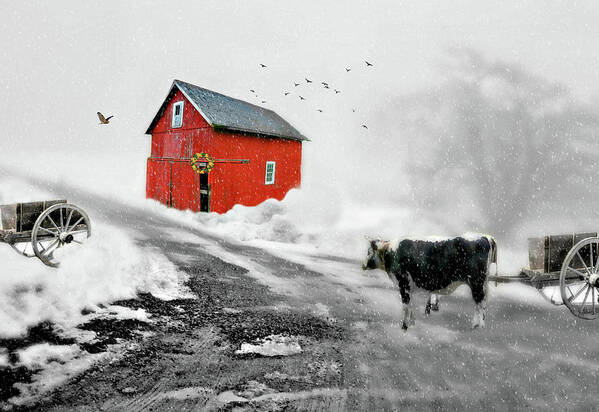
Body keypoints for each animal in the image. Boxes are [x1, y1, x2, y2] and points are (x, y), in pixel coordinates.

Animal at [364, 235, 500, 328]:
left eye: (369, 251)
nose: (363, 265)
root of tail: (485, 237)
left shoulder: (403, 283)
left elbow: (406, 305)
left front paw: (405, 326)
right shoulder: (408, 286)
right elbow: (410, 304)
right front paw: (412, 323)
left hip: (477, 283)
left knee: (479, 303)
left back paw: (477, 326)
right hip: (482, 283)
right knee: (482, 303)